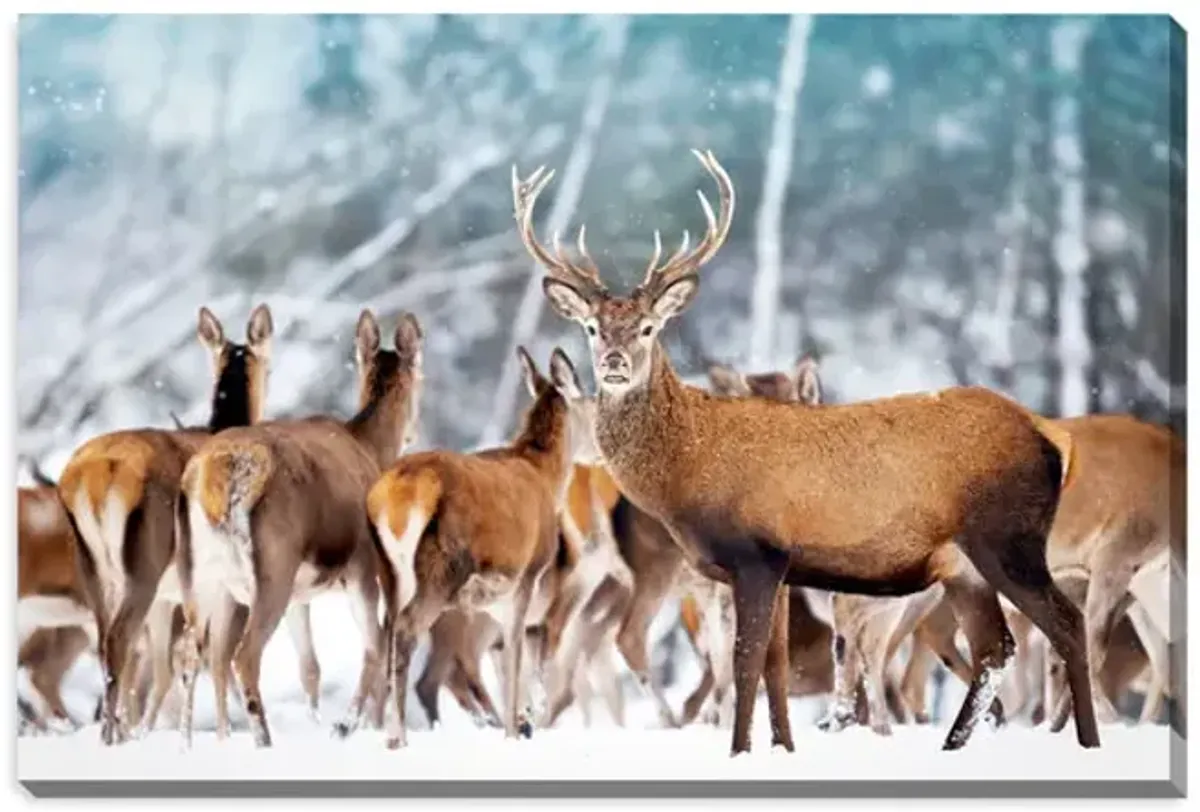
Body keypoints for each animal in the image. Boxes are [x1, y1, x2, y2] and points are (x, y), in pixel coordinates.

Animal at [55, 304, 277, 745]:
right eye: (270, 363)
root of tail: (93, 476)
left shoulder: (168, 597)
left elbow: (165, 666)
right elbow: (216, 657)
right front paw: (224, 736)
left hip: (93, 567)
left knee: (108, 644)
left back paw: (115, 733)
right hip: (144, 561)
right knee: (119, 641)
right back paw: (112, 737)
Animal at [171, 309, 423, 749]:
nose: (414, 432)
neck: (371, 448)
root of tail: (220, 476)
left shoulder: (300, 595)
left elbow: (311, 668)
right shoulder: (363, 566)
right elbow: (376, 645)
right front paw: (347, 726)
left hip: (202, 571)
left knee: (193, 649)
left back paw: (188, 746)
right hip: (274, 563)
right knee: (243, 654)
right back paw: (263, 739)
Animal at [366, 347, 591, 749]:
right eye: (593, 403)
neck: (547, 480)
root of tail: (399, 494)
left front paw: (522, 722)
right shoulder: (526, 576)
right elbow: (516, 654)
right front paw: (515, 730)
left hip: (388, 571)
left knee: (388, 633)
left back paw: (390, 734)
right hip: (442, 568)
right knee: (407, 631)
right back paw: (400, 738)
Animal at [513, 148, 1101, 755]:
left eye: (649, 328)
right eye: (592, 328)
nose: (614, 363)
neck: (687, 469)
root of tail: (1053, 437)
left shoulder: (756, 553)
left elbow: (745, 663)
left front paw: (739, 750)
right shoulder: (777, 566)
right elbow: (774, 664)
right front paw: (781, 748)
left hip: (1008, 538)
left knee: (1067, 623)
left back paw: (1086, 744)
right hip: (963, 566)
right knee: (996, 648)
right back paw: (954, 745)